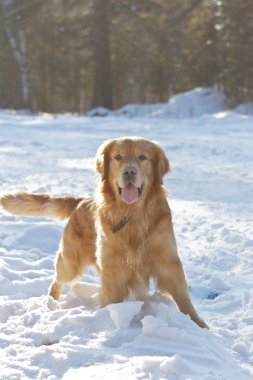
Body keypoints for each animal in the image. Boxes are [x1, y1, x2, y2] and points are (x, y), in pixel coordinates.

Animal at [0, 137, 208, 326]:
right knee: (57, 281)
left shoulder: (168, 262)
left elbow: (184, 299)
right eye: (118, 157)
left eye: (142, 157)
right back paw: (50, 305)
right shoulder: (113, 269)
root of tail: (81, 200)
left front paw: (200, 326)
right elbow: (110, 299)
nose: (129, 171)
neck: (132, 215)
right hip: (70, 262)